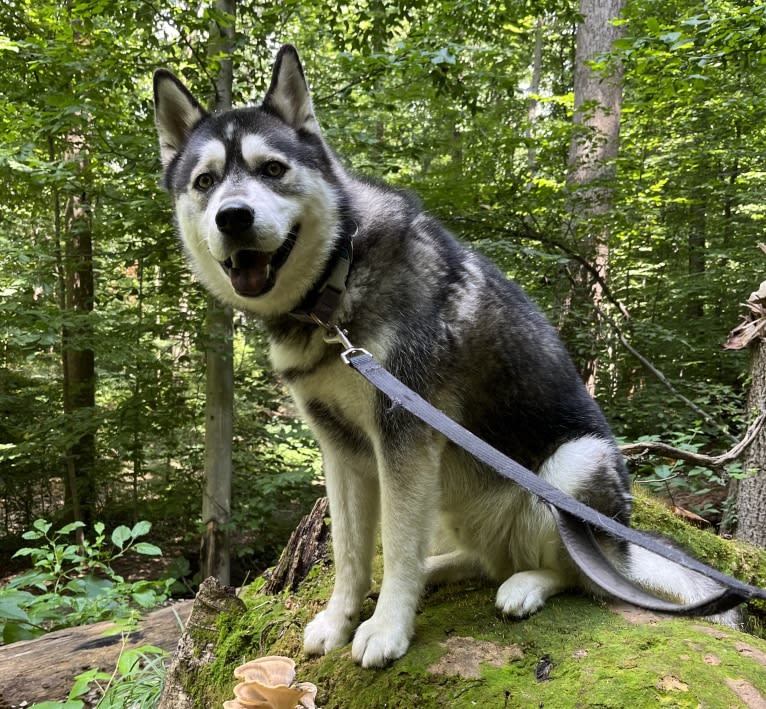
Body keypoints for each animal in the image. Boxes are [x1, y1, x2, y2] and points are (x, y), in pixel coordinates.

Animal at [152, 45, 732, 668]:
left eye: (273, 170)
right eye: (206, 181)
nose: (232, 216)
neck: (336, 284)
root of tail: (619, 547)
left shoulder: (404, 437)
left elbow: (397, 546)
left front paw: (387, 628)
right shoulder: (342, 450)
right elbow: (352, 554)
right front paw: (339, 620)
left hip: (570, 468)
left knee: (576, 575)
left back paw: (526, 585)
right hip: (454, 499)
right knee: (483, 560)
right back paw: (444, 570)